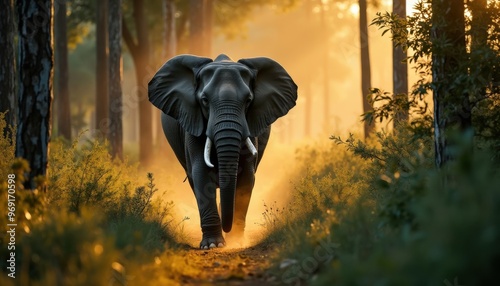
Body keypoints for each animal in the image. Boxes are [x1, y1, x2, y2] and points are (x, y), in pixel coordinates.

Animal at [147, 53, 296, 248]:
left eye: (248, 100)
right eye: (204, 100)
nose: (227, 229)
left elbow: (246, 177)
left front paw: (236, 242)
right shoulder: (193, 123)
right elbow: (201, 172)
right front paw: (213, 245)